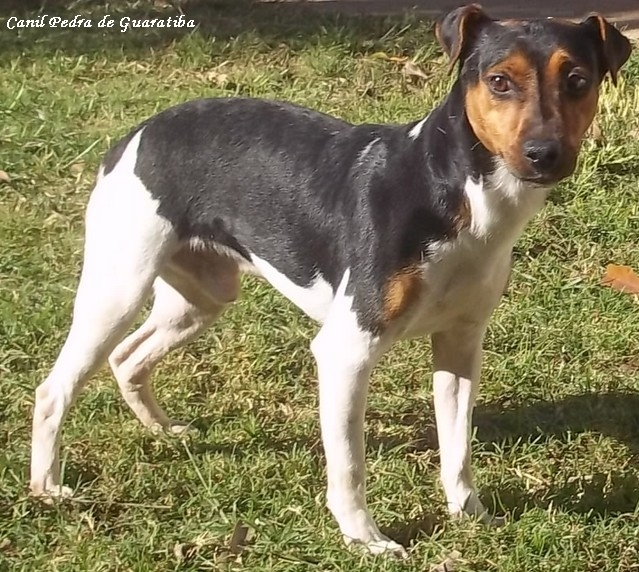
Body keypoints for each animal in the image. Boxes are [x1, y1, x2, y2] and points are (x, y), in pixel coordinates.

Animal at [30, 4, 632, 560]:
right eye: (500, 81)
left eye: (578, 80)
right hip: (117, 290)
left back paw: (162, 431)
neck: (454, 191)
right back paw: (47, 488)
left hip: (200, 298)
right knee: (54, 388)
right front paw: (365, 539)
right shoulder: (347, 352)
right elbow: (349, 466)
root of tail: (138, 132)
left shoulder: (460, 345)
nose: (543, 153)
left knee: (129, 356)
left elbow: (457, 449)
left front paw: (469, 515)